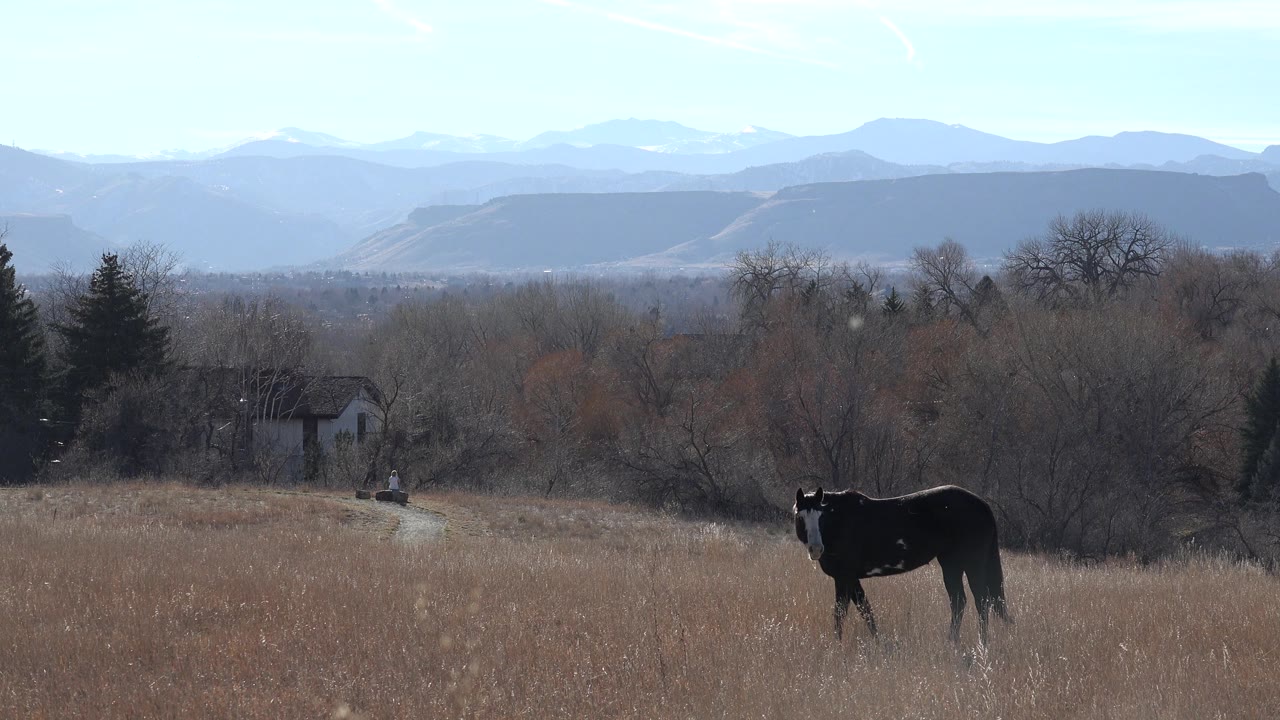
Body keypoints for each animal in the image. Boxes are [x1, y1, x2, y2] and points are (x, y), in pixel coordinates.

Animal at [794, 485, 1012, 645]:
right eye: (800, 517)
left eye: (821, 516)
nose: (816, 548)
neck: (840, 523)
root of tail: (982, 505)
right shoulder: (851, 579)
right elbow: (865, 609)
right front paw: (878, 641)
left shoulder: (844, 577)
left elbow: (841, 612)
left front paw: (836, 644)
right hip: (952, 564)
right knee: (960, 601)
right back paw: (952, 641)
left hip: (971, 564)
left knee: (981, 601)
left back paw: (981, 643)